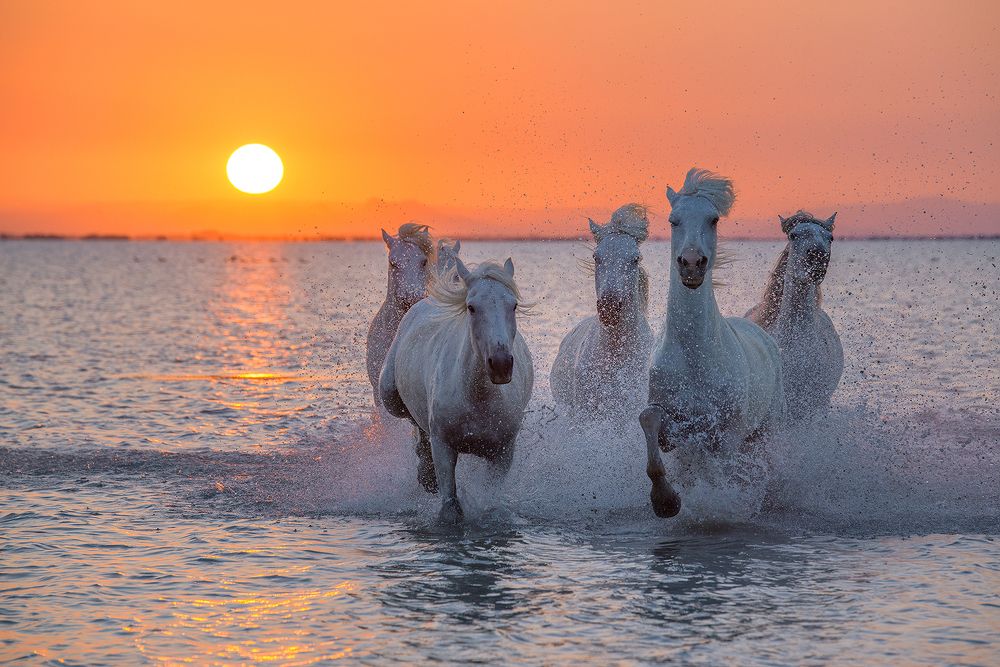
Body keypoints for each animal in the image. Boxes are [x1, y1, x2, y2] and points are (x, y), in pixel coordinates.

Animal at [379, 258, 534, 523]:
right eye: (471, 307)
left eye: (513, 305)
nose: (501, 365)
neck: (478, 398)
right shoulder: (443, 446)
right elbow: (450, 506)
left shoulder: (503, 453)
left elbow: (489, 502)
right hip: (388, 394)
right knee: (412, 420)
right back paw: (425, 472)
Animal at [640, 168, 786, 518]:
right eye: (673, 220)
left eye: (714, 219)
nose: (692, 264)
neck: (695, 355)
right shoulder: (677, 426)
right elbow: (649, 420)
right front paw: (666, 501)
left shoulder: (726, 435)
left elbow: (721, 474)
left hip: (768, 428)